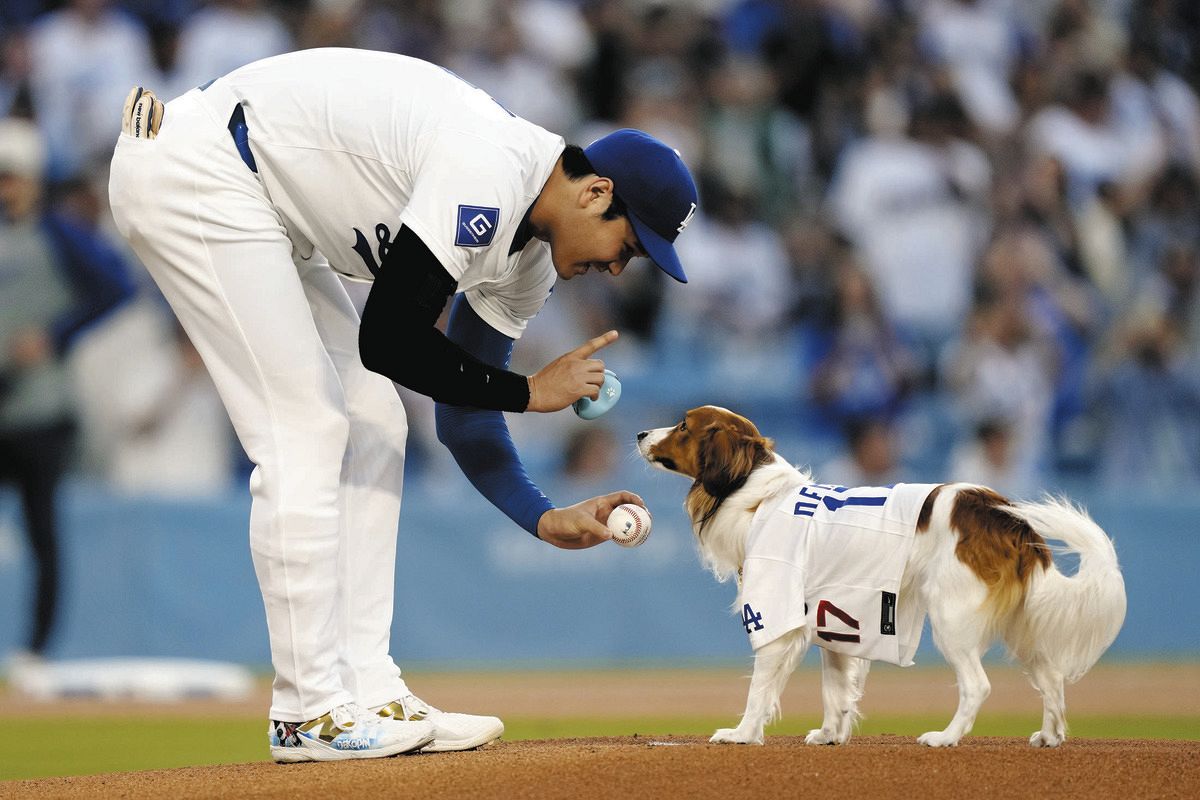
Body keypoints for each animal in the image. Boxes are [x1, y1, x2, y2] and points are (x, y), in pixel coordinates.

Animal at [638, 407, 1123, 753]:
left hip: (951, 620)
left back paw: (946, 738)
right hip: (1021, 627)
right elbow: (836, 688)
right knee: (1052, 679)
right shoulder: (833, 617)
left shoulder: (775, 616)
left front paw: (742, 734)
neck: (756, 493)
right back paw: (1050, 737)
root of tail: (998, 511)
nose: (640, 434)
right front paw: (831, 734)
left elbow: (760, 689)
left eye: (683, 426)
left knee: (977, 686)